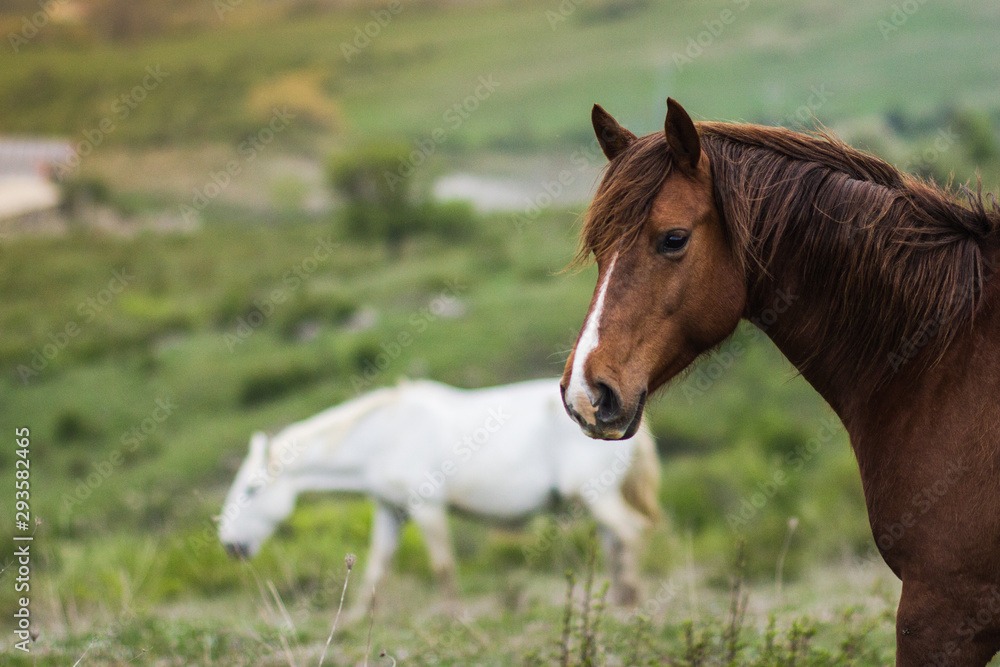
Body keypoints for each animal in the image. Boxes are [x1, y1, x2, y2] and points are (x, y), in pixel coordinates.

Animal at [218, 377, 660, 614]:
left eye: (252, 489)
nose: (230, 546)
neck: (386, 435)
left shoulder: (425, 506)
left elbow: (443, 566)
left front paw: (452, 615)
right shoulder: (390, 511)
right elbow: (376, 568)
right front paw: (353, 619)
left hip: (595, 495)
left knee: (631, 534)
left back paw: (633, 602)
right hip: (599, 499)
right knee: (615, 542)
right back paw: (618, 601)